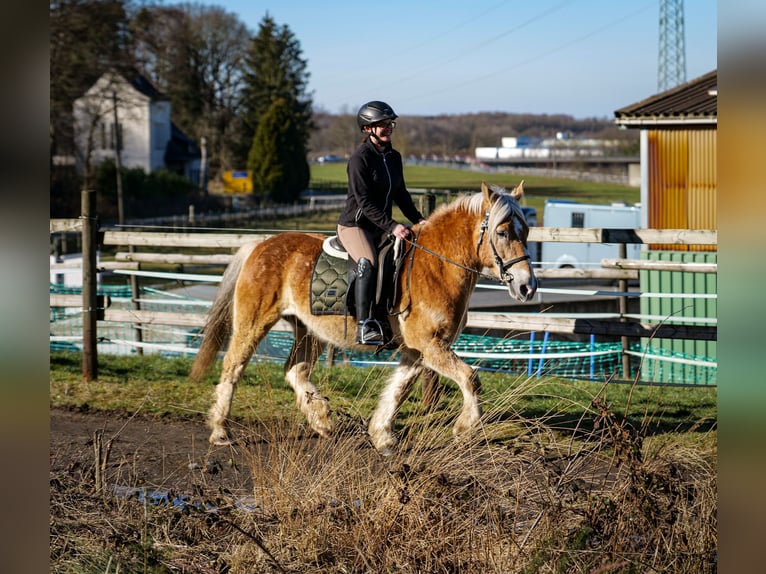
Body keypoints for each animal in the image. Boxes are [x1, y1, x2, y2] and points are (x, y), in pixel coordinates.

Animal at [188, 182, 536, 456]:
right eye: (502, 232)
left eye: (526, 231)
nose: (526, 286)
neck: (437, 264)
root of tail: (260, 245)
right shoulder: (430, 346)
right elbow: (470, 378)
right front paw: (464, 427)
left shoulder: (418, 350)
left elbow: (398, 390)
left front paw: (382, 436)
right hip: (254, 322)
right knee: (233, 366)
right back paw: (220, 431)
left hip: (308, 329)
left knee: (295, 370)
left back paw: (323, 421)